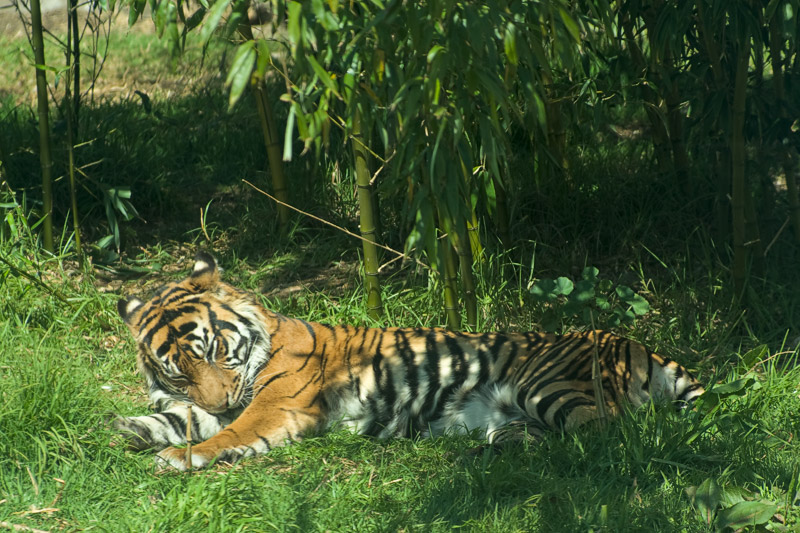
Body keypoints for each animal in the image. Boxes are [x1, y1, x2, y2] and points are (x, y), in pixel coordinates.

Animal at [113, 251, 704, 471]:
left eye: (213, 351)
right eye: (176, 371)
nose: (221, 399)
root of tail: (641, 346)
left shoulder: (276, 406)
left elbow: (226, 433)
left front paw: (178, 458)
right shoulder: (211, 403)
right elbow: (175, 418)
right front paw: (123, 430)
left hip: (548, 385)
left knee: (615, 434)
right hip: (516, 419)